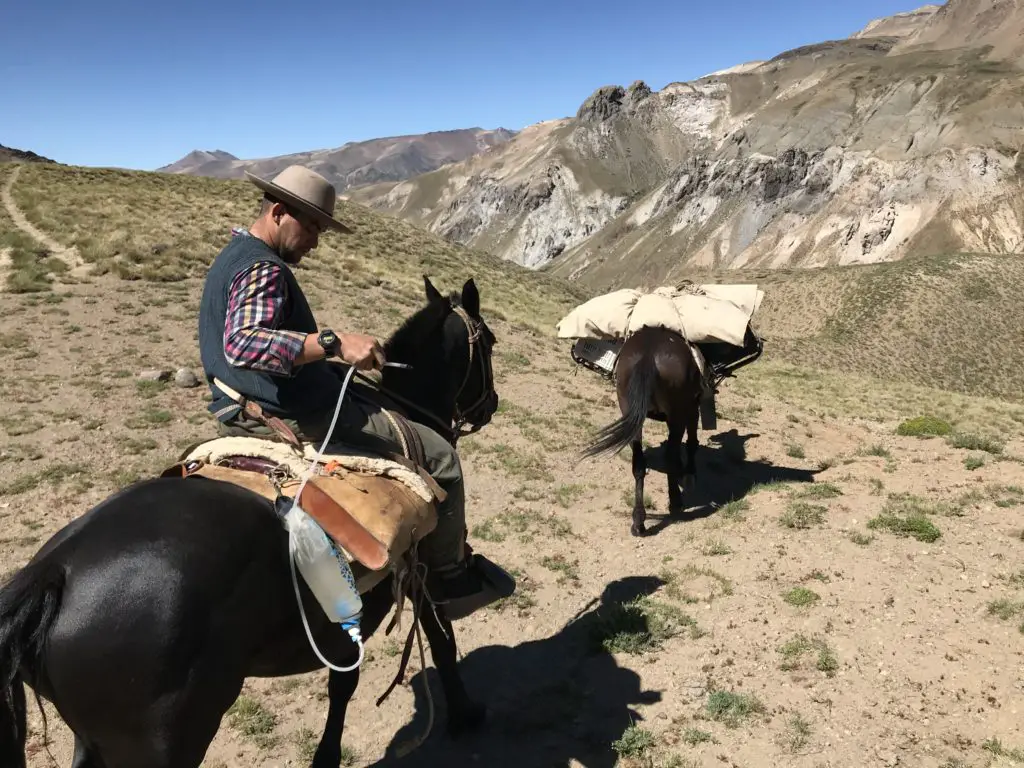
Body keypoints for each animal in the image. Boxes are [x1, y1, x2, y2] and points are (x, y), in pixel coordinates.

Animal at [581, 327, 708, 536]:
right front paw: (690, 474)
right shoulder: (692, 407)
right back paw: (675, 504)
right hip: (676, 415)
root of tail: (649, 354)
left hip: (630, 410)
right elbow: (691, 443)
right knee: (670, 457)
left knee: (639, 464)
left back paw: (638, 521)